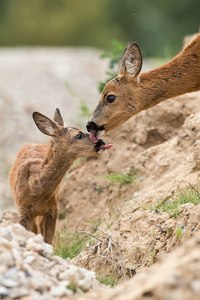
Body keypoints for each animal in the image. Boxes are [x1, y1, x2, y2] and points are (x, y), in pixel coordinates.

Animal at [9, 109, 111, 245]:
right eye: (78, 135)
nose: (101, 142)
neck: (35, 189)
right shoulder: (23, 211)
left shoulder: (53, 210)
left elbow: (48, 240)